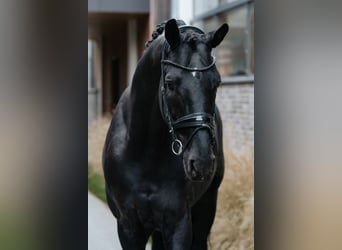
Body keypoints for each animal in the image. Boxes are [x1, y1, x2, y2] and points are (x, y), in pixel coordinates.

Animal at [103, 18, 228, 249]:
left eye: (216, 82)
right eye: (170, 83)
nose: (202, 162)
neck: (144, 152)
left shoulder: (178, 224)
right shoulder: (128, 227)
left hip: (205, 208)